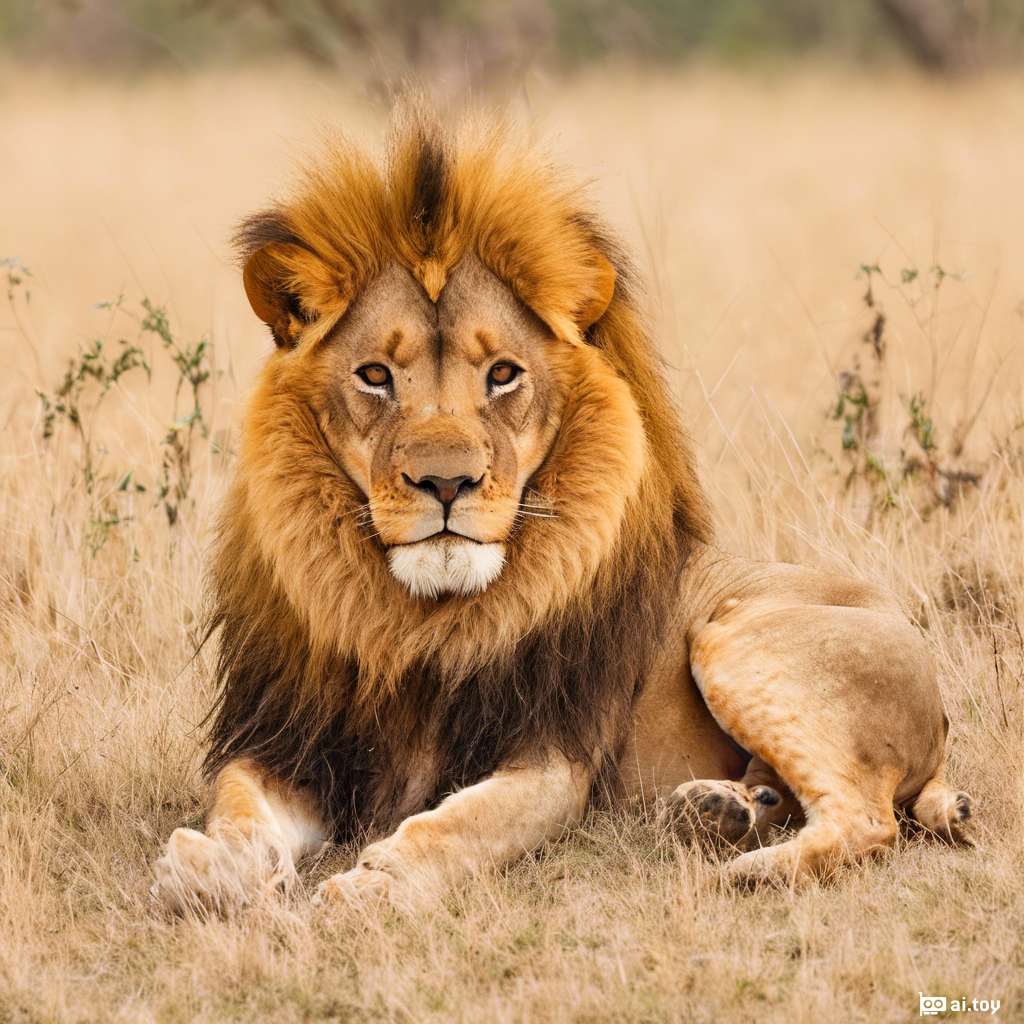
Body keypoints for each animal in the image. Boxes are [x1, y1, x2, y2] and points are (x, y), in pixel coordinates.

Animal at [152, 101, 971, 912]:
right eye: (376, 375)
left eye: (503, 374)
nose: (445, 483)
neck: (415, 626)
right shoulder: (288, 747)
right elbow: (227, 818)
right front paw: (207, 865)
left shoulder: (553, 759)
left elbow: (462, 826)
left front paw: (377, 886)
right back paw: (718, 810)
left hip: (734, 639)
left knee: (868, 818)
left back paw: (743, 870)